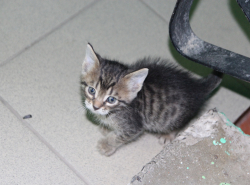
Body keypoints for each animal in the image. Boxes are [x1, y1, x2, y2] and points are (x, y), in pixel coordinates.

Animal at [81, 43, 222, 156]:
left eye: (111, 99)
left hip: (174, 117)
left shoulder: (135, 126)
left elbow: (119, 137)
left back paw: (168, 135)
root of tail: (197, 87)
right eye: (91, 90)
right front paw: (107, 128)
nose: (95, 107)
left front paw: (107, 146)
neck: (116, 110)